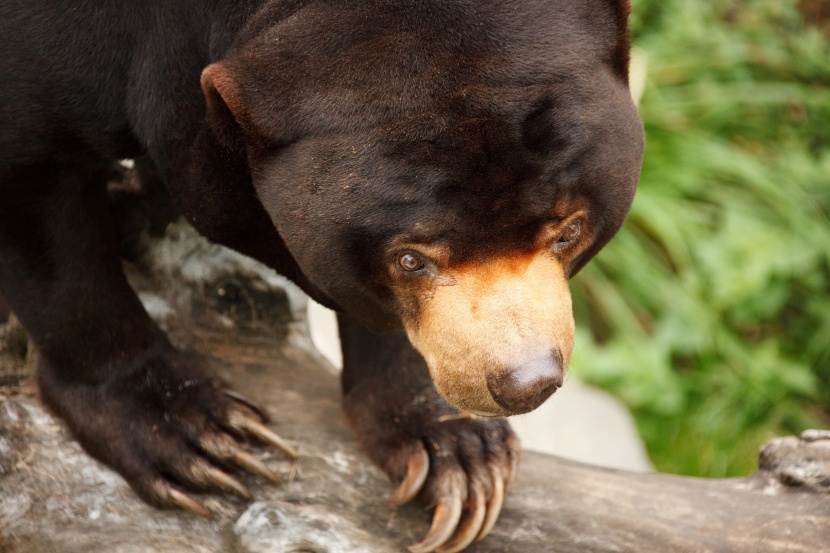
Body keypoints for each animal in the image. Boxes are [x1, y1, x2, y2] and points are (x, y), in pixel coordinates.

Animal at [0, 2, 644, 548]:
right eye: (411, 260)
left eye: (568, 231)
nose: (526, 384)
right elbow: (39, 194)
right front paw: (199, 433)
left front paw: (453, 452)